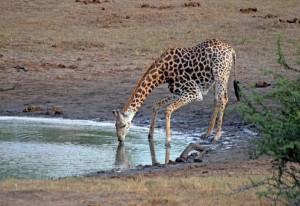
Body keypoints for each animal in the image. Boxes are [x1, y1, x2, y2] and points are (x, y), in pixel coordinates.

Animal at [111, 38, 240, 159]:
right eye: (115, 125)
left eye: (123, 125)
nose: (120, 140)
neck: (163, 72)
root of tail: (231, 50)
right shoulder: (178, 92)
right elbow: (157, 105)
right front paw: (150, 136)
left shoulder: (194, 92)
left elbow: (168, 109)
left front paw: (168, 142)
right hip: (216, 79)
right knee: (217, 100)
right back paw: (207, 133)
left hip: (221, 75)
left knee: (223, 99)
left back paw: (217, 136)